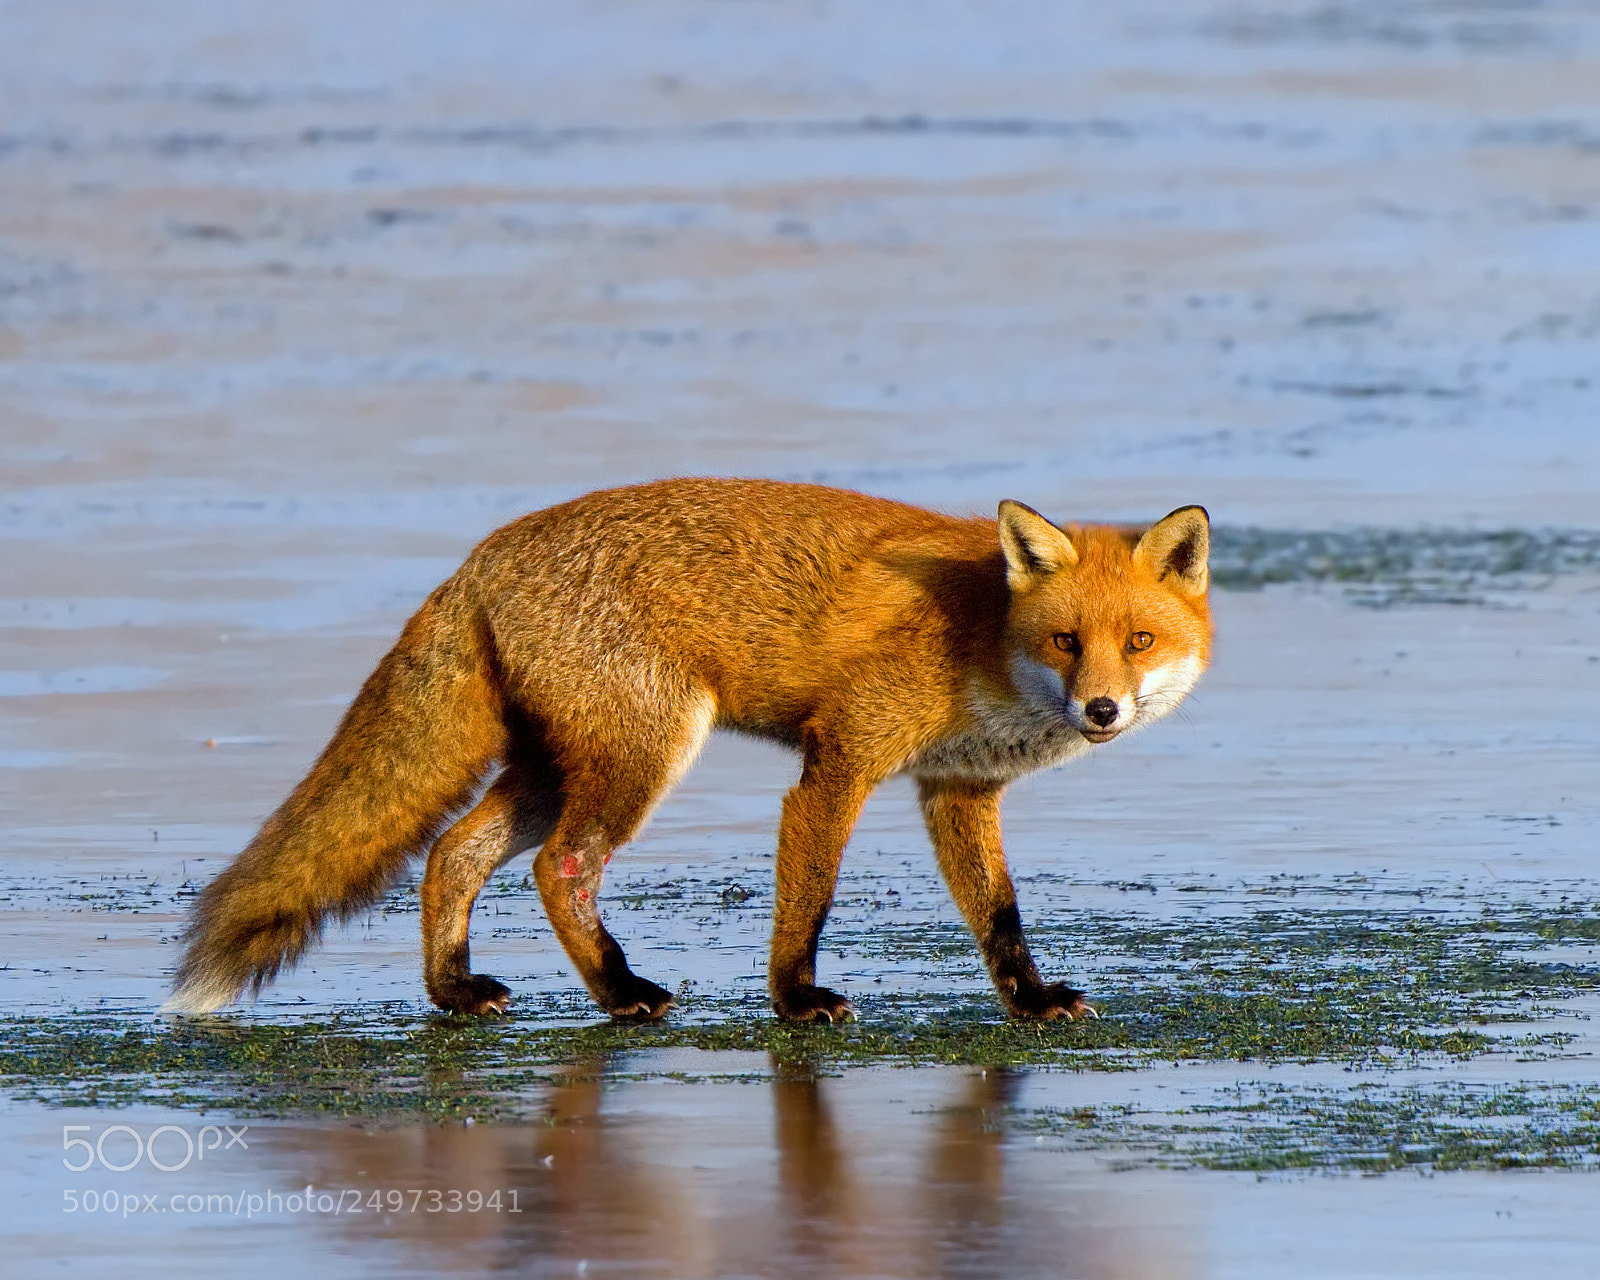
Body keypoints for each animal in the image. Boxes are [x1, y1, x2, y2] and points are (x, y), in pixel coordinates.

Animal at [167, 478, 1211, 1023]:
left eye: (1139, 642)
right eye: (1066, 641)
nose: (1102, 709)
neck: (983, 637)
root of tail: (483, 554)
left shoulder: (958, 789)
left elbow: (999, 917)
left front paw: (1030, 1002)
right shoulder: (839, 760)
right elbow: (809, 899)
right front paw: (795, 999)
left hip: (558, 768)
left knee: (452, 852)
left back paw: (454, 990)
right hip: (640, 757)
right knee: (558, 868)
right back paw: (619, 990)